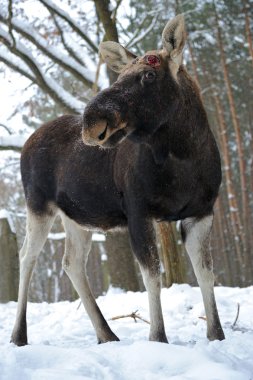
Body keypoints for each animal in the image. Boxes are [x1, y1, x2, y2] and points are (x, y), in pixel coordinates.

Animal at [10, 15, 225, 348]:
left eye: (149, 73)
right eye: (120, 74)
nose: (92, 121)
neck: (184, 158)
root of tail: (27, 142)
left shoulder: (201, 211)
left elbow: (205, 273)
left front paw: (217, 335)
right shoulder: (138, 210)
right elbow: (153, 275)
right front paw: (157, 337)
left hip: (76, 216)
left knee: (71, 263)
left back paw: (106, 334)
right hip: (38, 204)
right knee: (27, 256)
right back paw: (19, 336)